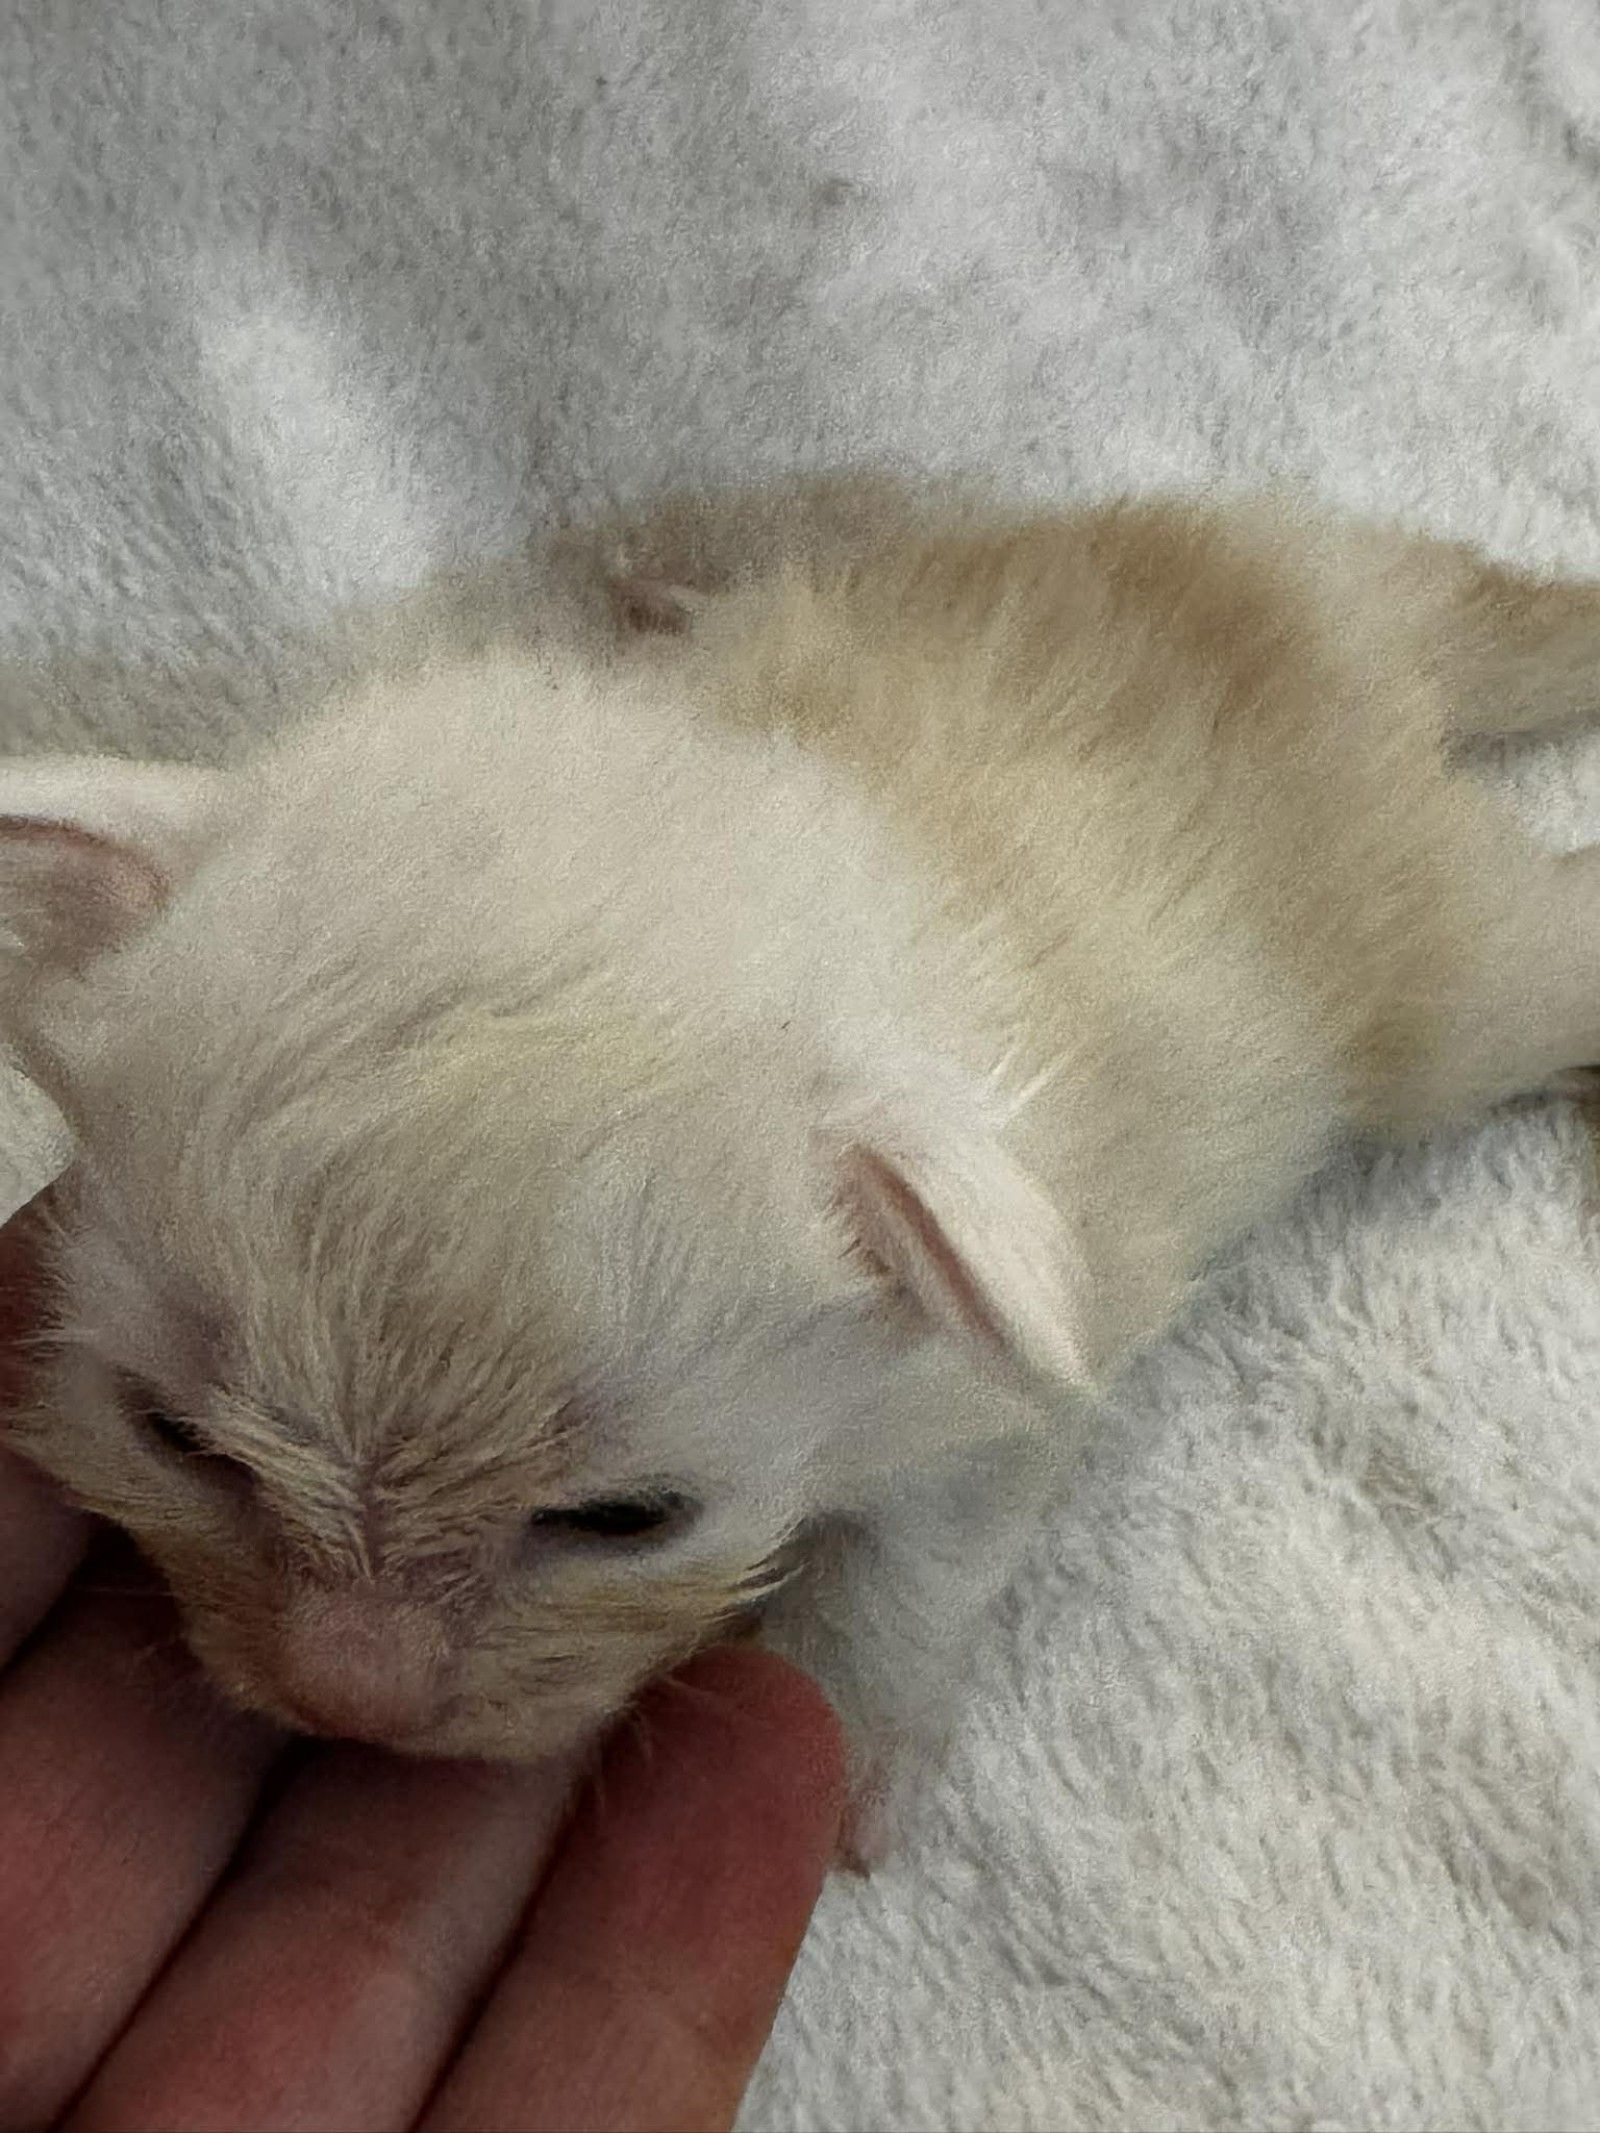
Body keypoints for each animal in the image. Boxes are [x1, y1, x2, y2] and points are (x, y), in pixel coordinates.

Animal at [2, 472, 1598, 1859]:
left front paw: (843, 1738)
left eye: (621, 1522)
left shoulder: (997, 1395)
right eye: (178, 1440)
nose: (352, 1701)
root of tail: (1290, 599)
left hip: (1440, 987)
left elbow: (906, 1578)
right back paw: (676, 584)